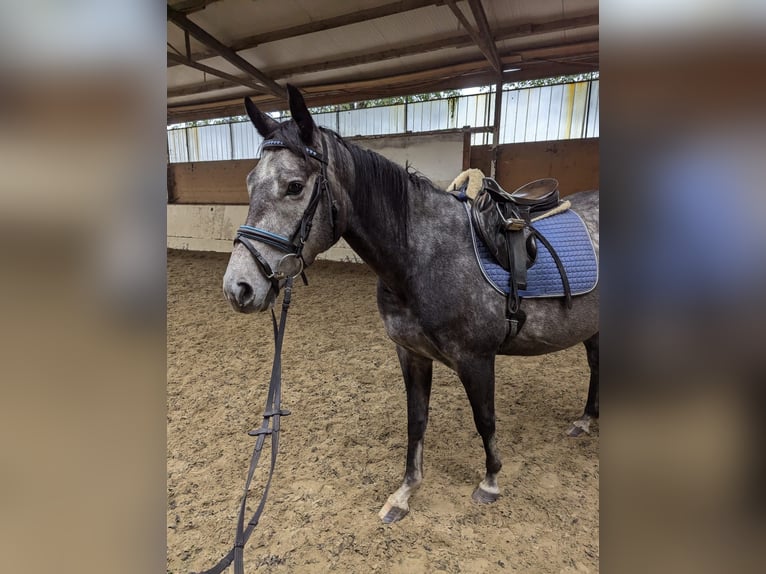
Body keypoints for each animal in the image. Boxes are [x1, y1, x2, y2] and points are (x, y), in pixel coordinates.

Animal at [222, 85, 600, 528]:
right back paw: (586, 420)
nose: (238, 287)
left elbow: (485, 419)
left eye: (295, 186)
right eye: (250, 182)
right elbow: (416, 421)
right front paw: (404, 493)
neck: (424, 257)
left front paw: (490, 481)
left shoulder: (477, 359)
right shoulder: (412, 354)